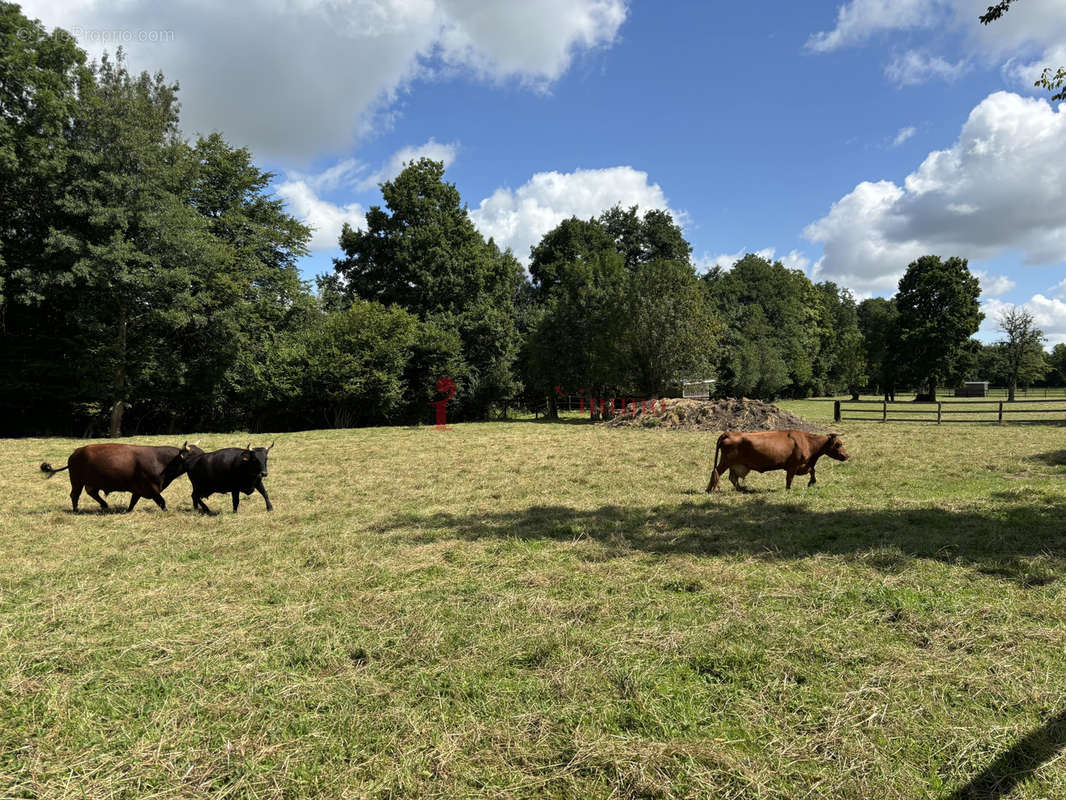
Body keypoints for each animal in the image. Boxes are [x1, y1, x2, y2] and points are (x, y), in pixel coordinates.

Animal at [39, 445, 191, 514]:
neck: (161, 460)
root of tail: (75, 453)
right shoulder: (151, 488)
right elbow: (161, 501)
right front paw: (167, 511)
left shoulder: (138, 489)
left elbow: (133, 502)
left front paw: (128, 511)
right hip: (77, 481)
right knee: (75, 495)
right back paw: (76, 510)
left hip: (91, 482)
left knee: (92, 492)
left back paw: (105, 505)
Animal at [707, 428, 848, 492]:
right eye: (838, 444)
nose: (847, 455)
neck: (807, 441)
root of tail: (729, 433)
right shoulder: (793, 465)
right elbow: (789, 478)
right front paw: (788, 490)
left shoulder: (804, 465)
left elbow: (812, 471)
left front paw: (811, 483)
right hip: (725, 461)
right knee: (716, 472)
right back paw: (710, 490)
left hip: (735, 464)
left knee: (733, 478)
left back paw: (742, 489)